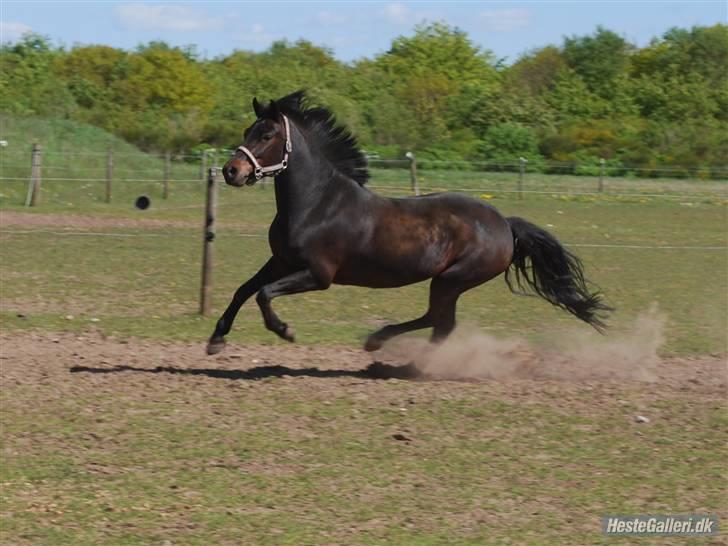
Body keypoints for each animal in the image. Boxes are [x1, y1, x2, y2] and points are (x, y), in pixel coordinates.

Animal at [206, 90, 608, 352]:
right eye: (246, 132)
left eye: (267, 134)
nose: (231, 171)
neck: (317, 205)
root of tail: (504, 224)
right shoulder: (281, 261)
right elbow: (244, 289)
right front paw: (216, 340)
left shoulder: (318, 275)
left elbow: (263, 293)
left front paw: (284, 331)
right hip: (448, 282)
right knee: (439, 322)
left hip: (452, 279)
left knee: (439, 321)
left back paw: (391, 350)